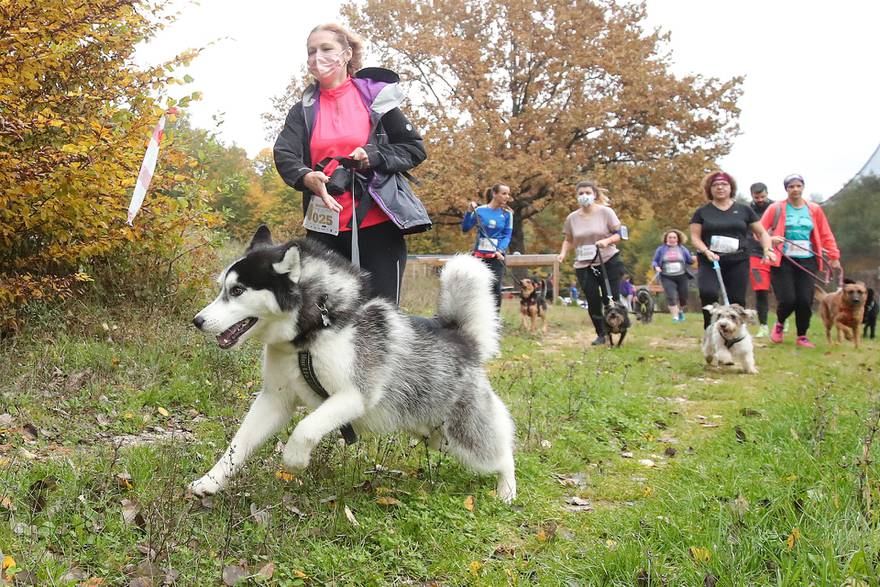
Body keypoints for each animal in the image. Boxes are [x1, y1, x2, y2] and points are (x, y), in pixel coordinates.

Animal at [187, 227, 516, 504]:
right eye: (222, 288)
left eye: (238, 291)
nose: (198, 321)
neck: (310, 334)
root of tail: (461, 337)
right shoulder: (274, 400)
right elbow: (238, 444)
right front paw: (210, 481)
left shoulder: (354, 396)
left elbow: (305, 428)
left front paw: (295, 459)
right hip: (436, 437)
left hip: (464, 437)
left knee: (503, 453)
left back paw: (507, 491)